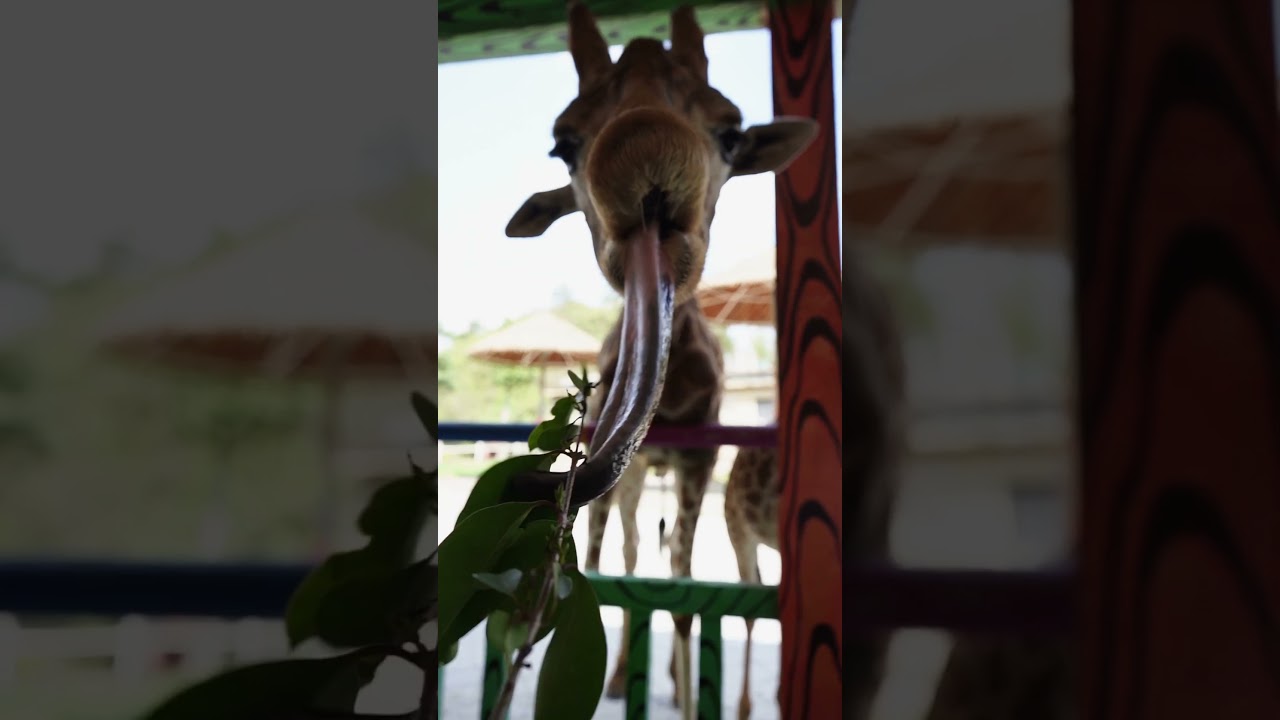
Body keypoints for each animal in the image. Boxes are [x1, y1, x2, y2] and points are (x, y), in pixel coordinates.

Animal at [500, 3, 819, 715]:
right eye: (564, 144)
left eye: (730, 133)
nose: (647, 168)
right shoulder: (619, 461)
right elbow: (604, 562)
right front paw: (622, 678)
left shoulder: (700, 458)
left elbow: (682, 581)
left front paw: (685, 691)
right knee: (628, 544)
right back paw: (625, 675)